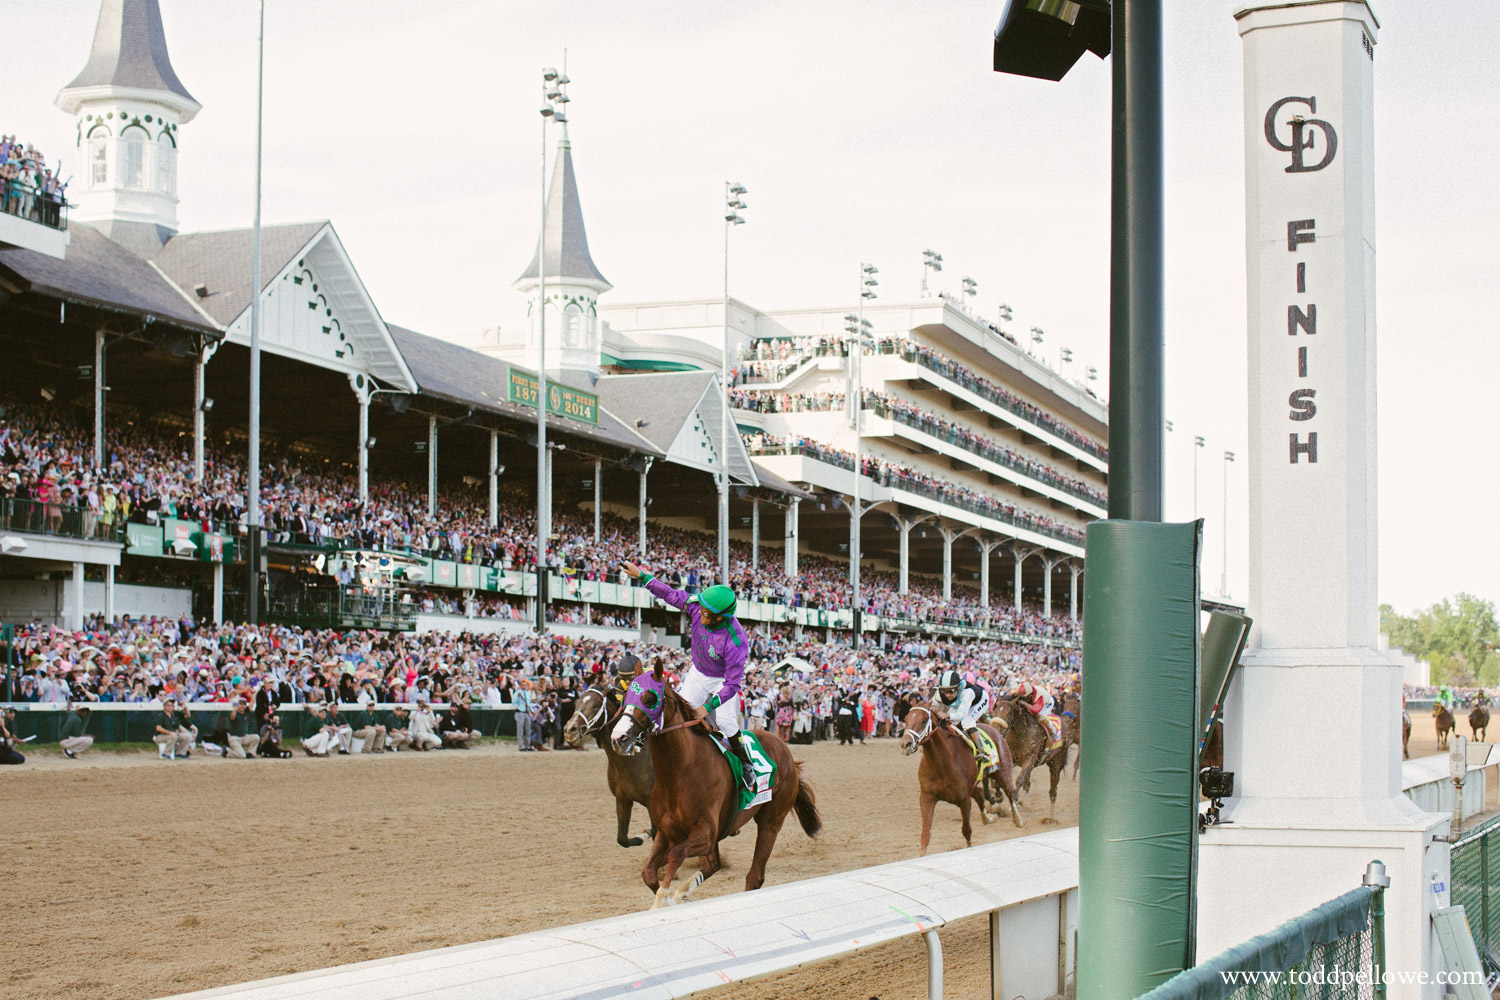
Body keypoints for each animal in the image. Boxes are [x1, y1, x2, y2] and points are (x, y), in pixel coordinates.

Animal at [564, 683, 657, 851]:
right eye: (576, 703)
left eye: (595, 705)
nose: (570, 730)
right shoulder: (622, 799)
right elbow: (622, 839)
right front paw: (641, 836)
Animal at [609, 665, 822, 905]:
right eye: (626, 696)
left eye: (650, 698)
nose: (619, 738)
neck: (679, 772)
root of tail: (788, 754)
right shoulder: (667, 833)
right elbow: (648, 873)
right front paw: (671, 898)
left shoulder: (705, 833)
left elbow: (676, 855)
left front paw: (666, 897)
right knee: (713, 864)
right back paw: (683, 892)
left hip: (771, 822)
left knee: (754, 875)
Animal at [894, 704, 1026, 851]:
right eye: (905, 719)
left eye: (923, 720)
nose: (905, 744)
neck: (941, 763)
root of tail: (995, 729)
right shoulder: (927, 796)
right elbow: (925, 835)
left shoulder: (964, 799)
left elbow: (966, 831)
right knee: (980, 795)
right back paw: (988, 818)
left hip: (1003, 772)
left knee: (1010, 793)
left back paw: (1018, 820)